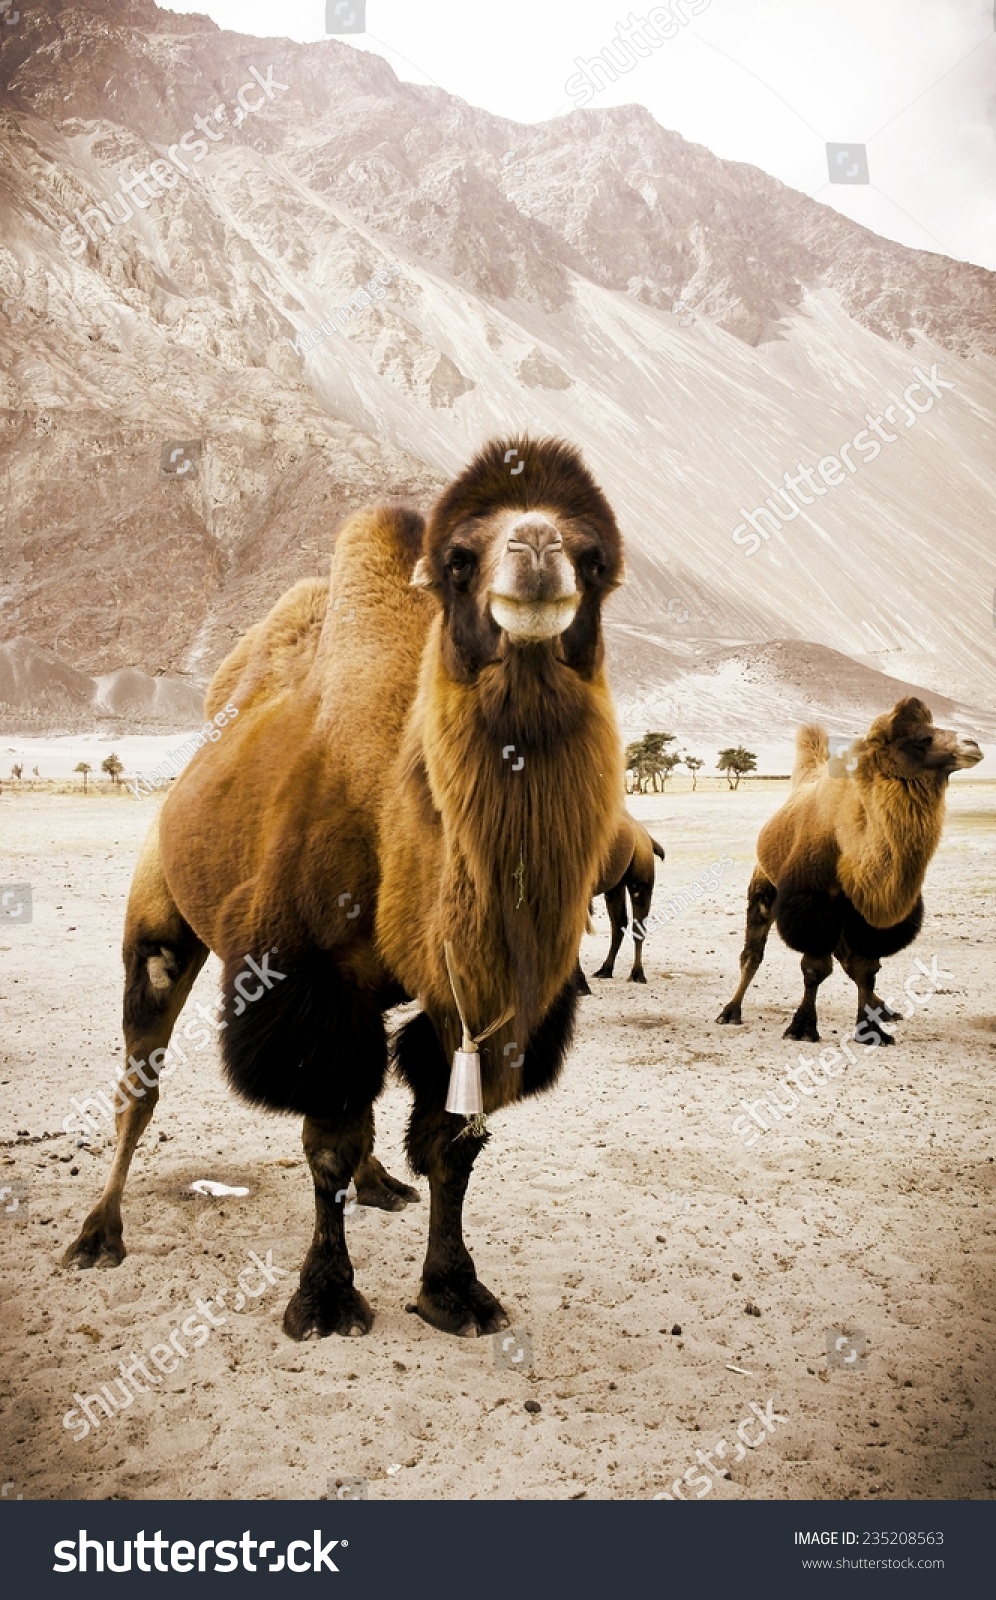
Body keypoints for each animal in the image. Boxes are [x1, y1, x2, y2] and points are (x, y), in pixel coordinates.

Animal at [62, 435, 627, 1337]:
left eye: (596, 556)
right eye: (459, 559)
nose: (538, 551)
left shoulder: (475, 1004)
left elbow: (450, 1141)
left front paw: (454, 1289)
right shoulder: (304, 978)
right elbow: (325, 1139)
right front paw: (324, 1297)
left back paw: (380, 1186)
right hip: (159, 916)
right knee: (139, 1080)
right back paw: (97, 1234)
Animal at [717, 694, 986, 1043]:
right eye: (920, 739)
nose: (973, 744)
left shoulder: (865, 910)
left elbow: (866, 969)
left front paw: (871, 1030)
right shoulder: (813, 904)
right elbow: (815, 967)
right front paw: (802, 1028)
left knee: (845, 958)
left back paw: (884, 1008)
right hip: (764, 885)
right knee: (753, 953)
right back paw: (730, 1011)